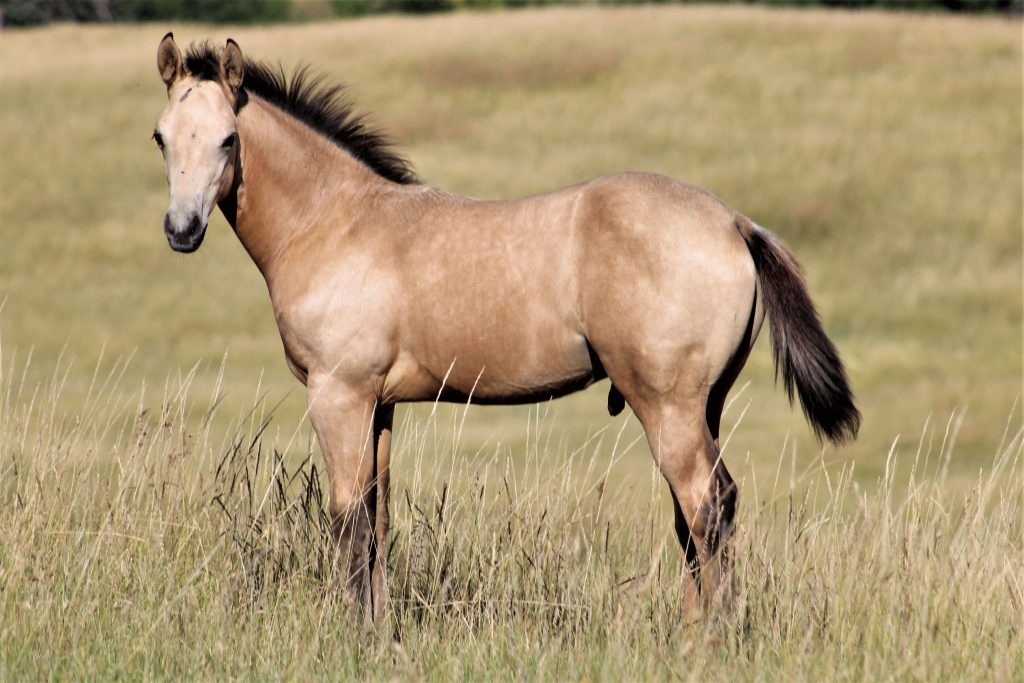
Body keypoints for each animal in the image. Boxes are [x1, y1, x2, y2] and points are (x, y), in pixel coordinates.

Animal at [152, 34, 859, 620]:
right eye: (161, 136)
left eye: (228, 139)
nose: (182, 230)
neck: (336, 220)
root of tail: (736, 223)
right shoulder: (378, 405)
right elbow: (378, 520)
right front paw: (380, 634)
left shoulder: (338, 395)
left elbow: (347, 520)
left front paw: (349, 635)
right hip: (703, 403)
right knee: (696, 516)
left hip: (668, 404)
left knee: (706, 506)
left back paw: (716, 636)